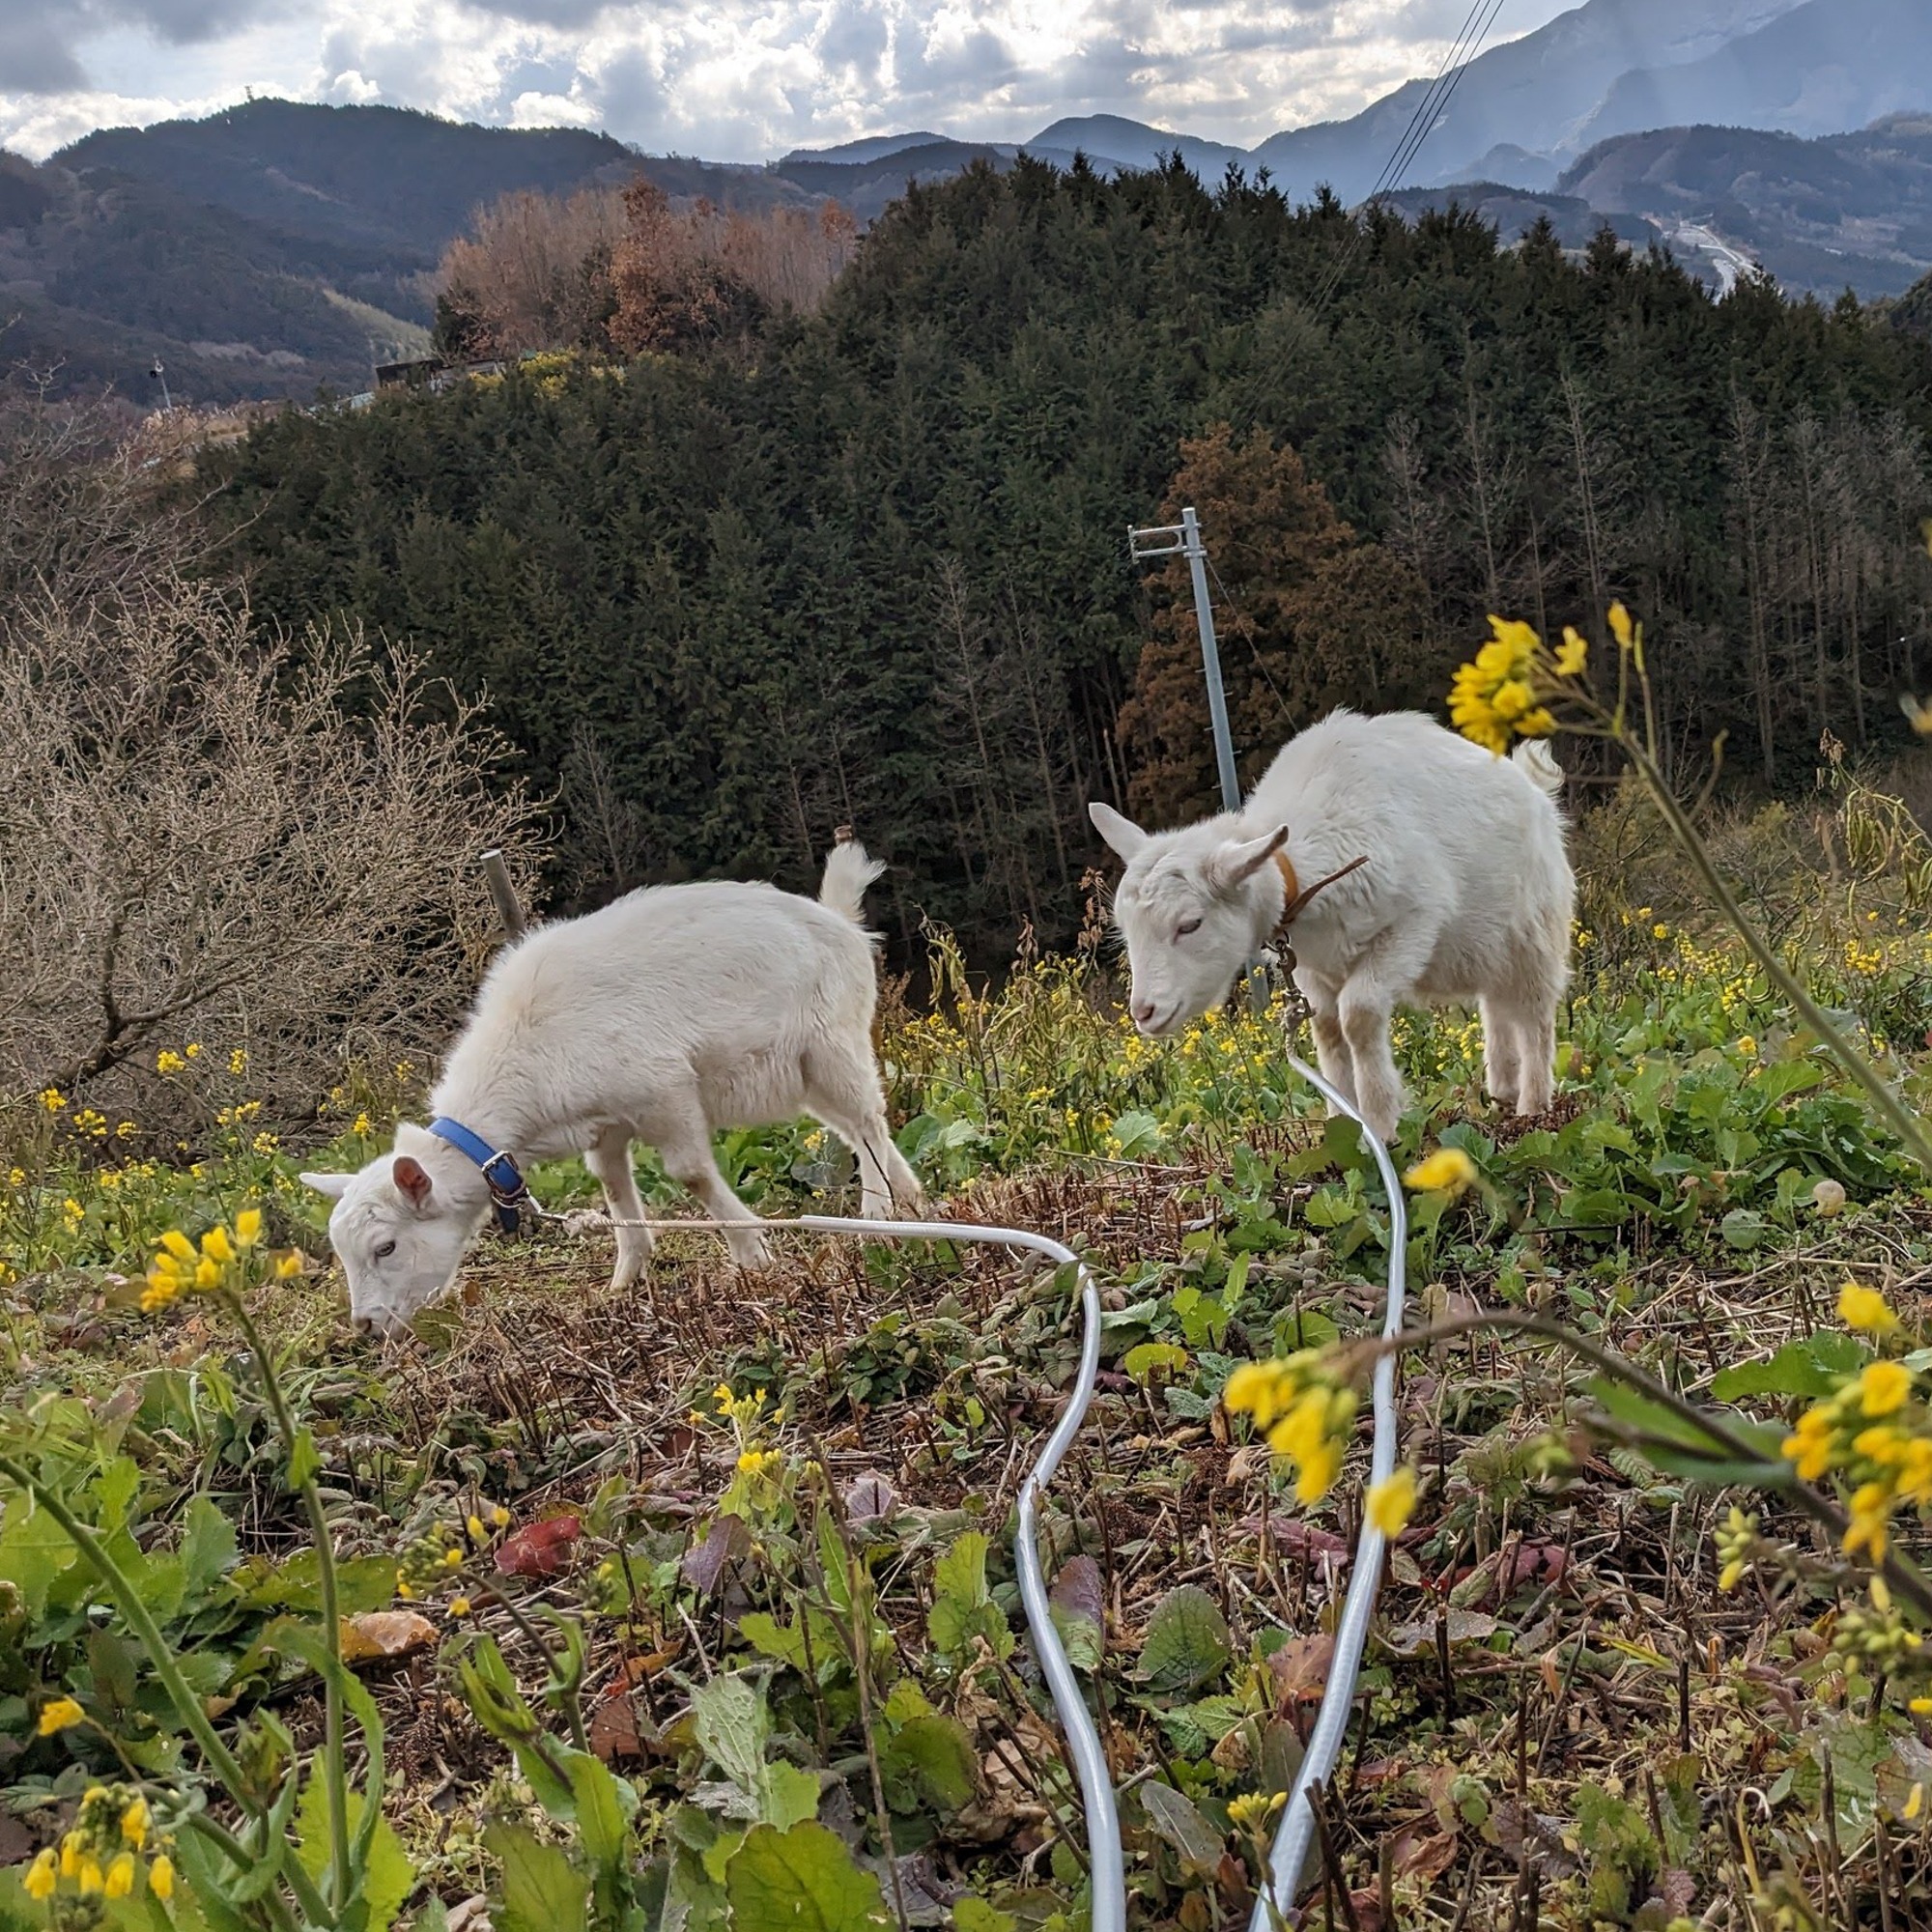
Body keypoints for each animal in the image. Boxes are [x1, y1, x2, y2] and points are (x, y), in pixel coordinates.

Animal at [305, 838, 923, 1337]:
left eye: (385, 1247)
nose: (365, 1326)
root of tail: (841, 921)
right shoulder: (603, 1124)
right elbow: (612, 1187)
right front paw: (625, 1276)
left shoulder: (663, 1090)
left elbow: (692, 1174)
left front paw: (751, 1251)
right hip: (805, 1070)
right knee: (860, 1123)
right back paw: (909, 1198)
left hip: (830, 1039)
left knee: (865, 1119)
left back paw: (875, 1212)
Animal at [1090, 711, 1569, 1136]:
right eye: (1125, 929)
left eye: (1190, 924)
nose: (1144, 1012)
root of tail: (1533, 787)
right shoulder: (1310, 965)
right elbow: (1325, 1026)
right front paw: (1344, 1119)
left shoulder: (1411, 925)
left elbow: (1357, 1014)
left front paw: (1381, 1123)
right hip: (1486, 948)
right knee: (1497, 1007)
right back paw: (1502, 1092)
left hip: (1536, 934)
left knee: (1535, 1016)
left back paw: (1533, 1106)